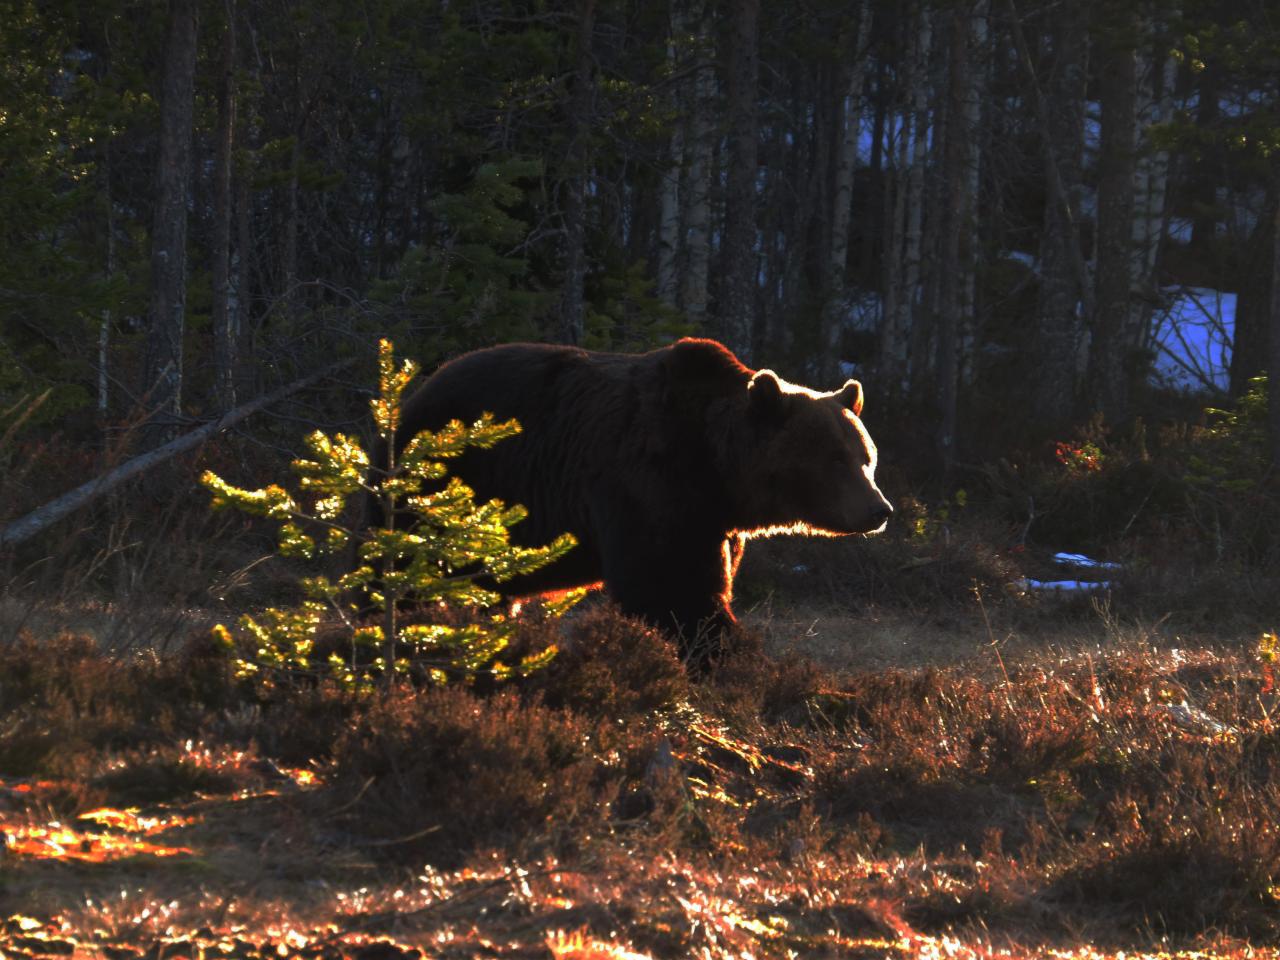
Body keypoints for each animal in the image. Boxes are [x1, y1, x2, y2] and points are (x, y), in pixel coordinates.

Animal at [386, 340, 890, 670]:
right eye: (835, 458)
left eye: (866, 457)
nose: (879, 510)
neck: (716, 472)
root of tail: (419, 389)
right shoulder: (649, 484)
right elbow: (671, 586)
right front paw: (723, 652)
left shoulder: (715, 522)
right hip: (449, 478)